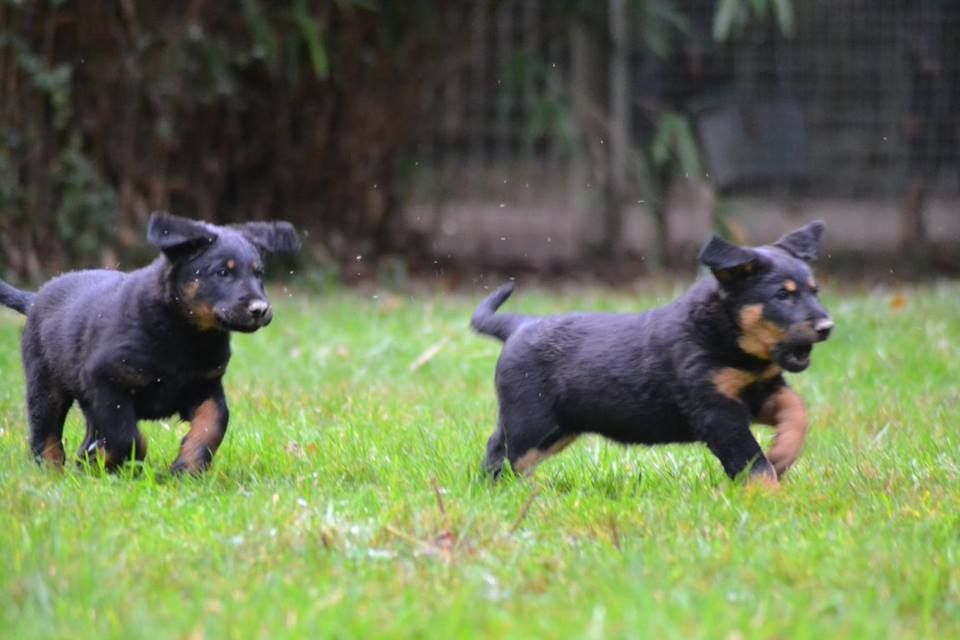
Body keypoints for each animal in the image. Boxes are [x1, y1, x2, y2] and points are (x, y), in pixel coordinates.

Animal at [0, 212, 298, 472]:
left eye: (259, 274)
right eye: (222, 273)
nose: (260, 309)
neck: (185, 333)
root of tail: (35, 297)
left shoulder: (204, 385)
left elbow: (214, 422)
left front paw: (188, 465)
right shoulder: (106, 380)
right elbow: (126, 436)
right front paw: (120, 461)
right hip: (46, 385)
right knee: (46, 435)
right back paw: (53, 473)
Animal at [472, 221, 832, 484]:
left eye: (814, 291)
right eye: (783, 296)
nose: (827, 326)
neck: (729, 340)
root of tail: (520, 325)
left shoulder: (760, 391)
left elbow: (797, 410)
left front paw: (783, 452)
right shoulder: (717, 411)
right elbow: (752, 462)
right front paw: (768, 494)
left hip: (556, 427)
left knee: (502, 448)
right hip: (535, 423)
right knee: (510, 454)